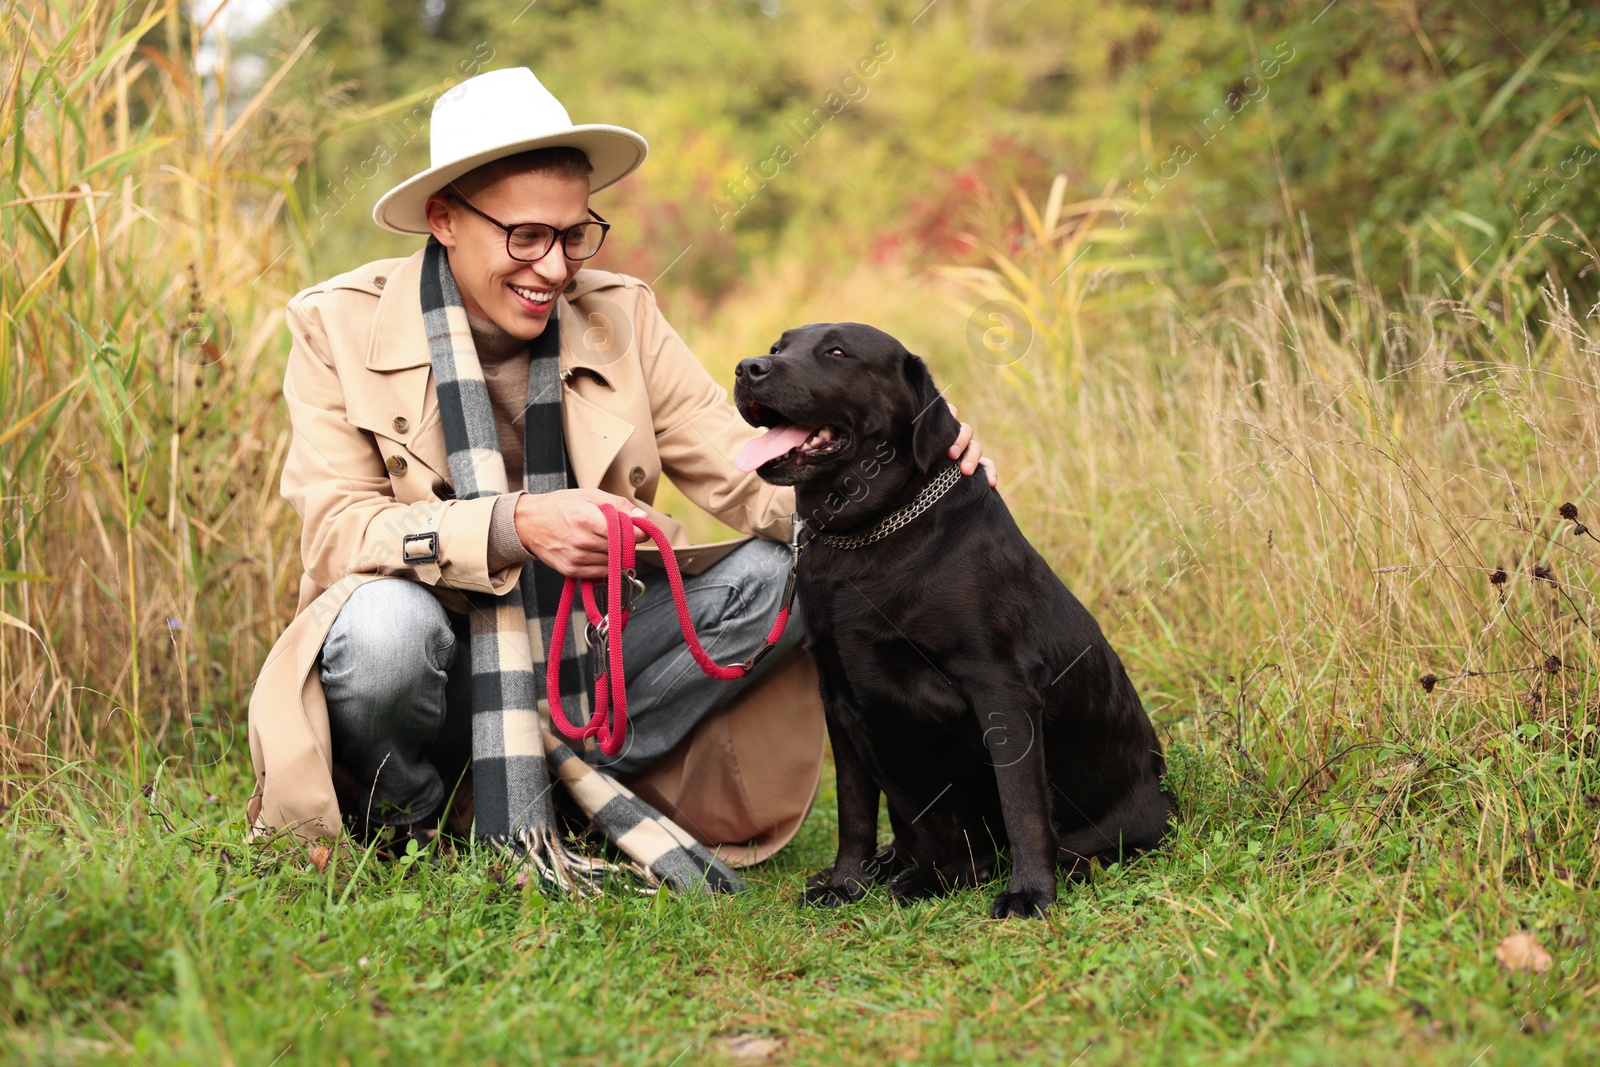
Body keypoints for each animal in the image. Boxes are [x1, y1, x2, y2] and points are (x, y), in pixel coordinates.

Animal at [732, 323, 1171, 921]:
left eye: (837, 351)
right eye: (778, 349)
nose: (747, 367)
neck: (865, 538)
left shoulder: (1002, 691)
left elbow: (1023, 808)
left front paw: (1031, 893)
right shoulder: (838, 701)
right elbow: (853, 813)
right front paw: (846, 884)